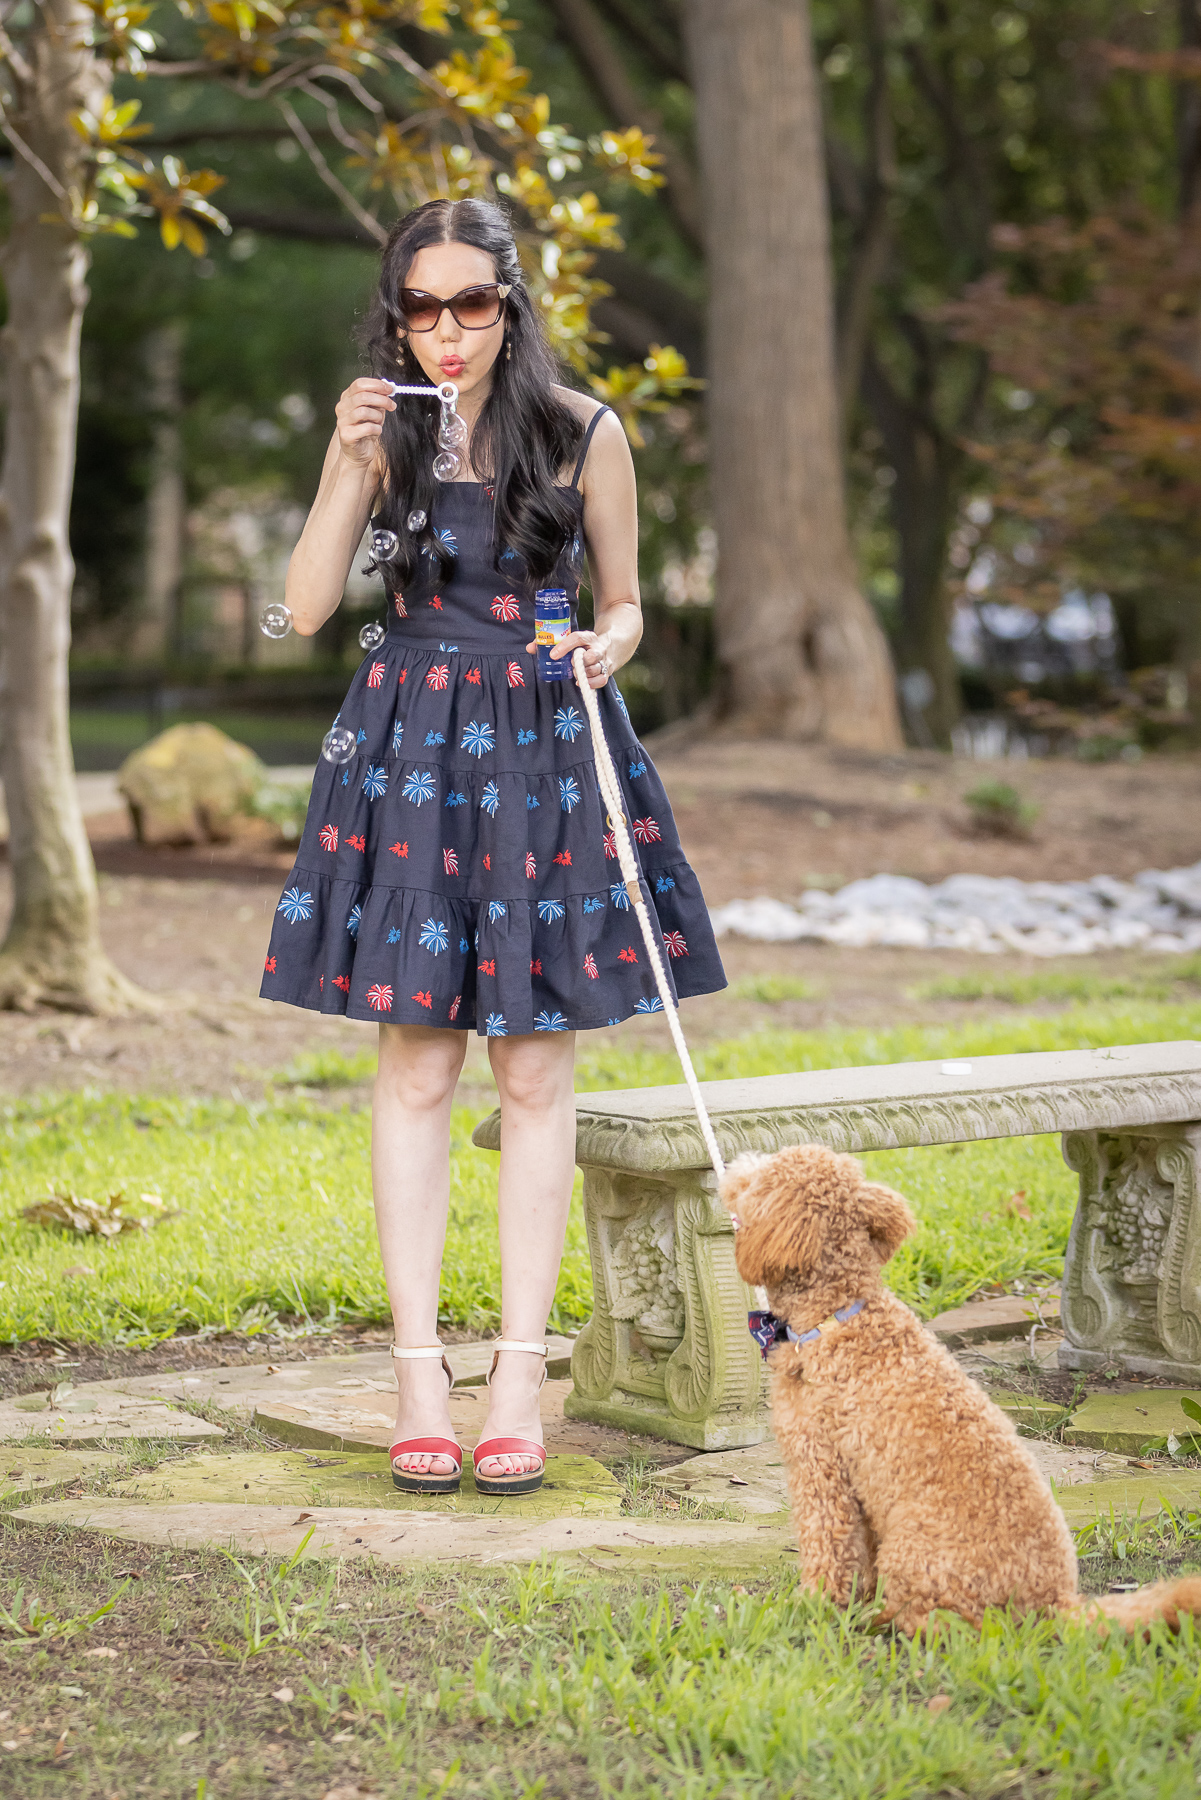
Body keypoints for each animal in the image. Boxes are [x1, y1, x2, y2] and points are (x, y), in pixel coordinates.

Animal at [723, 1144, 1201, 1641]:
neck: (837, 1317)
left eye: (762, 1176)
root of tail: (1055, 1605)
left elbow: (828, 1552)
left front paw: (809, 1607)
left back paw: (888, 1620)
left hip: (914, 1553)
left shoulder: (820, 1469)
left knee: (951, 1625)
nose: (735, 1163)